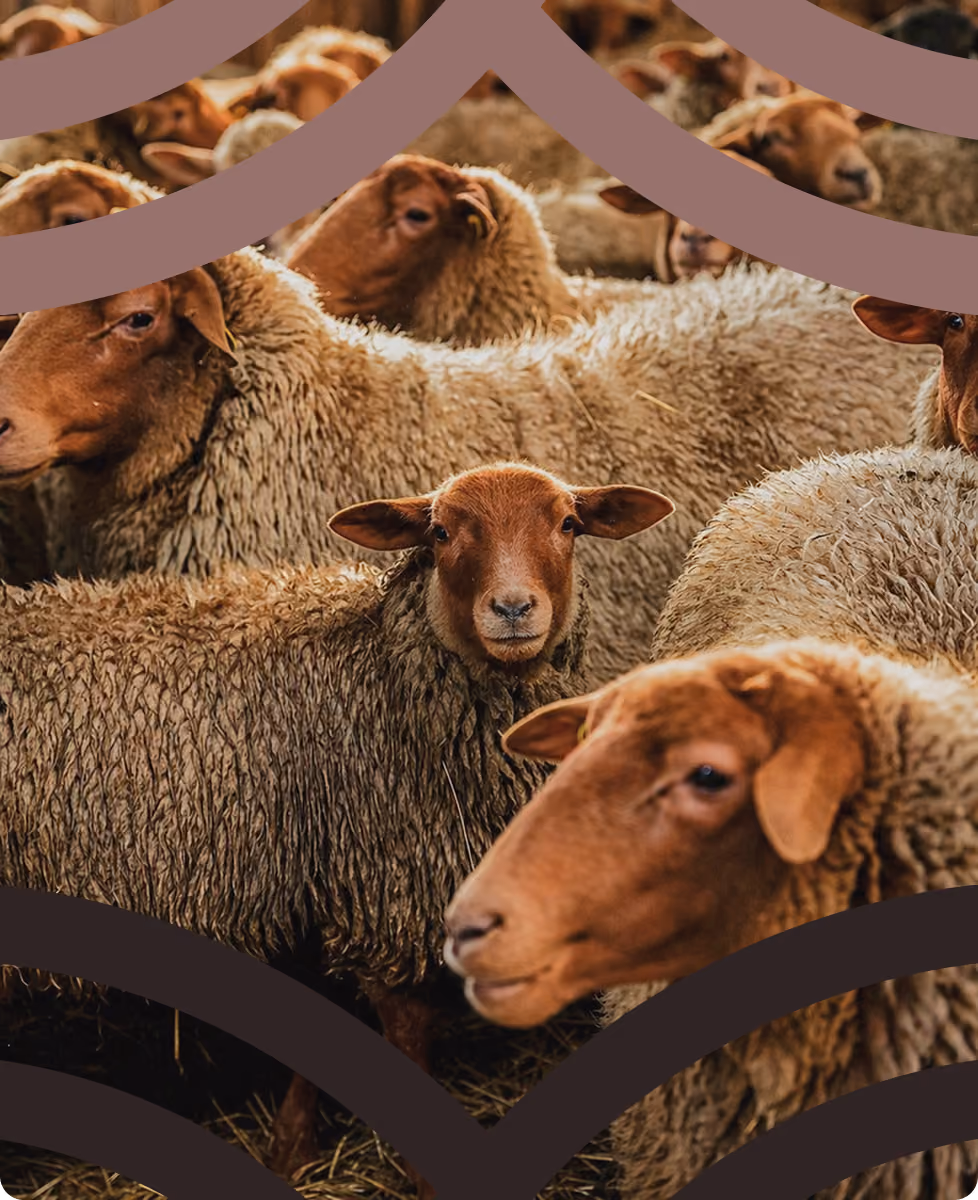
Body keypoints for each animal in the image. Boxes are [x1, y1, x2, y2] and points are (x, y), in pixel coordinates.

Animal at [0, 460, 673, 1189]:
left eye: (569, 524)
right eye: (441, 532)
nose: (514, 609)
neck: (378, 666)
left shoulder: (308, 872)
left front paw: (291, 1147)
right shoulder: (383, 882)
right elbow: (406, 1029)